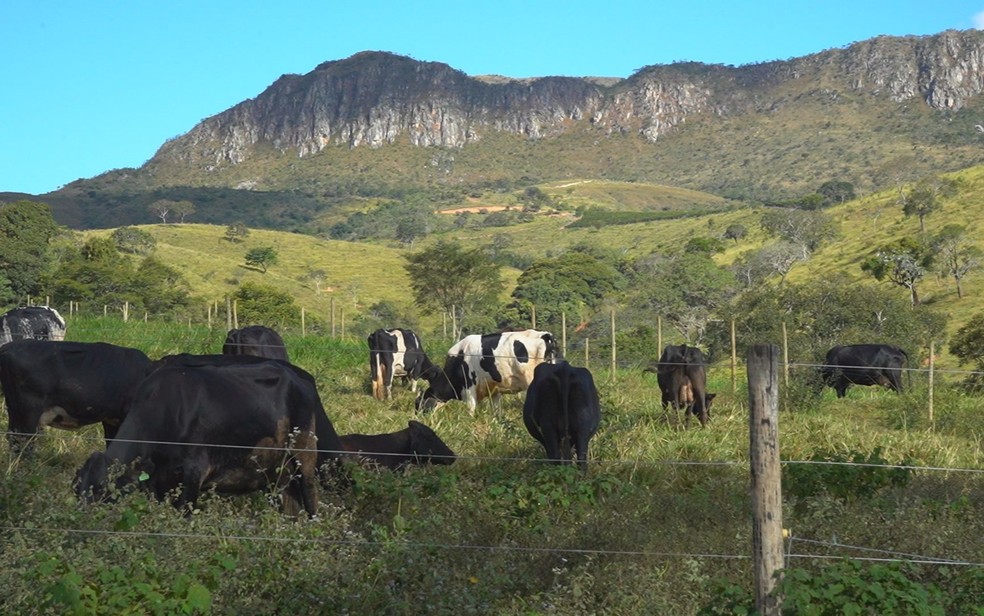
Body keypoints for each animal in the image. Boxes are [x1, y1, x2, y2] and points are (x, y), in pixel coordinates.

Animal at [414, 328, 556, 414]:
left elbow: (471, 409)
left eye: (419, 404)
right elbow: (496, 411)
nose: (418, 417)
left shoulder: (469, 386)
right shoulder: (494, 390)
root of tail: (544, 335)